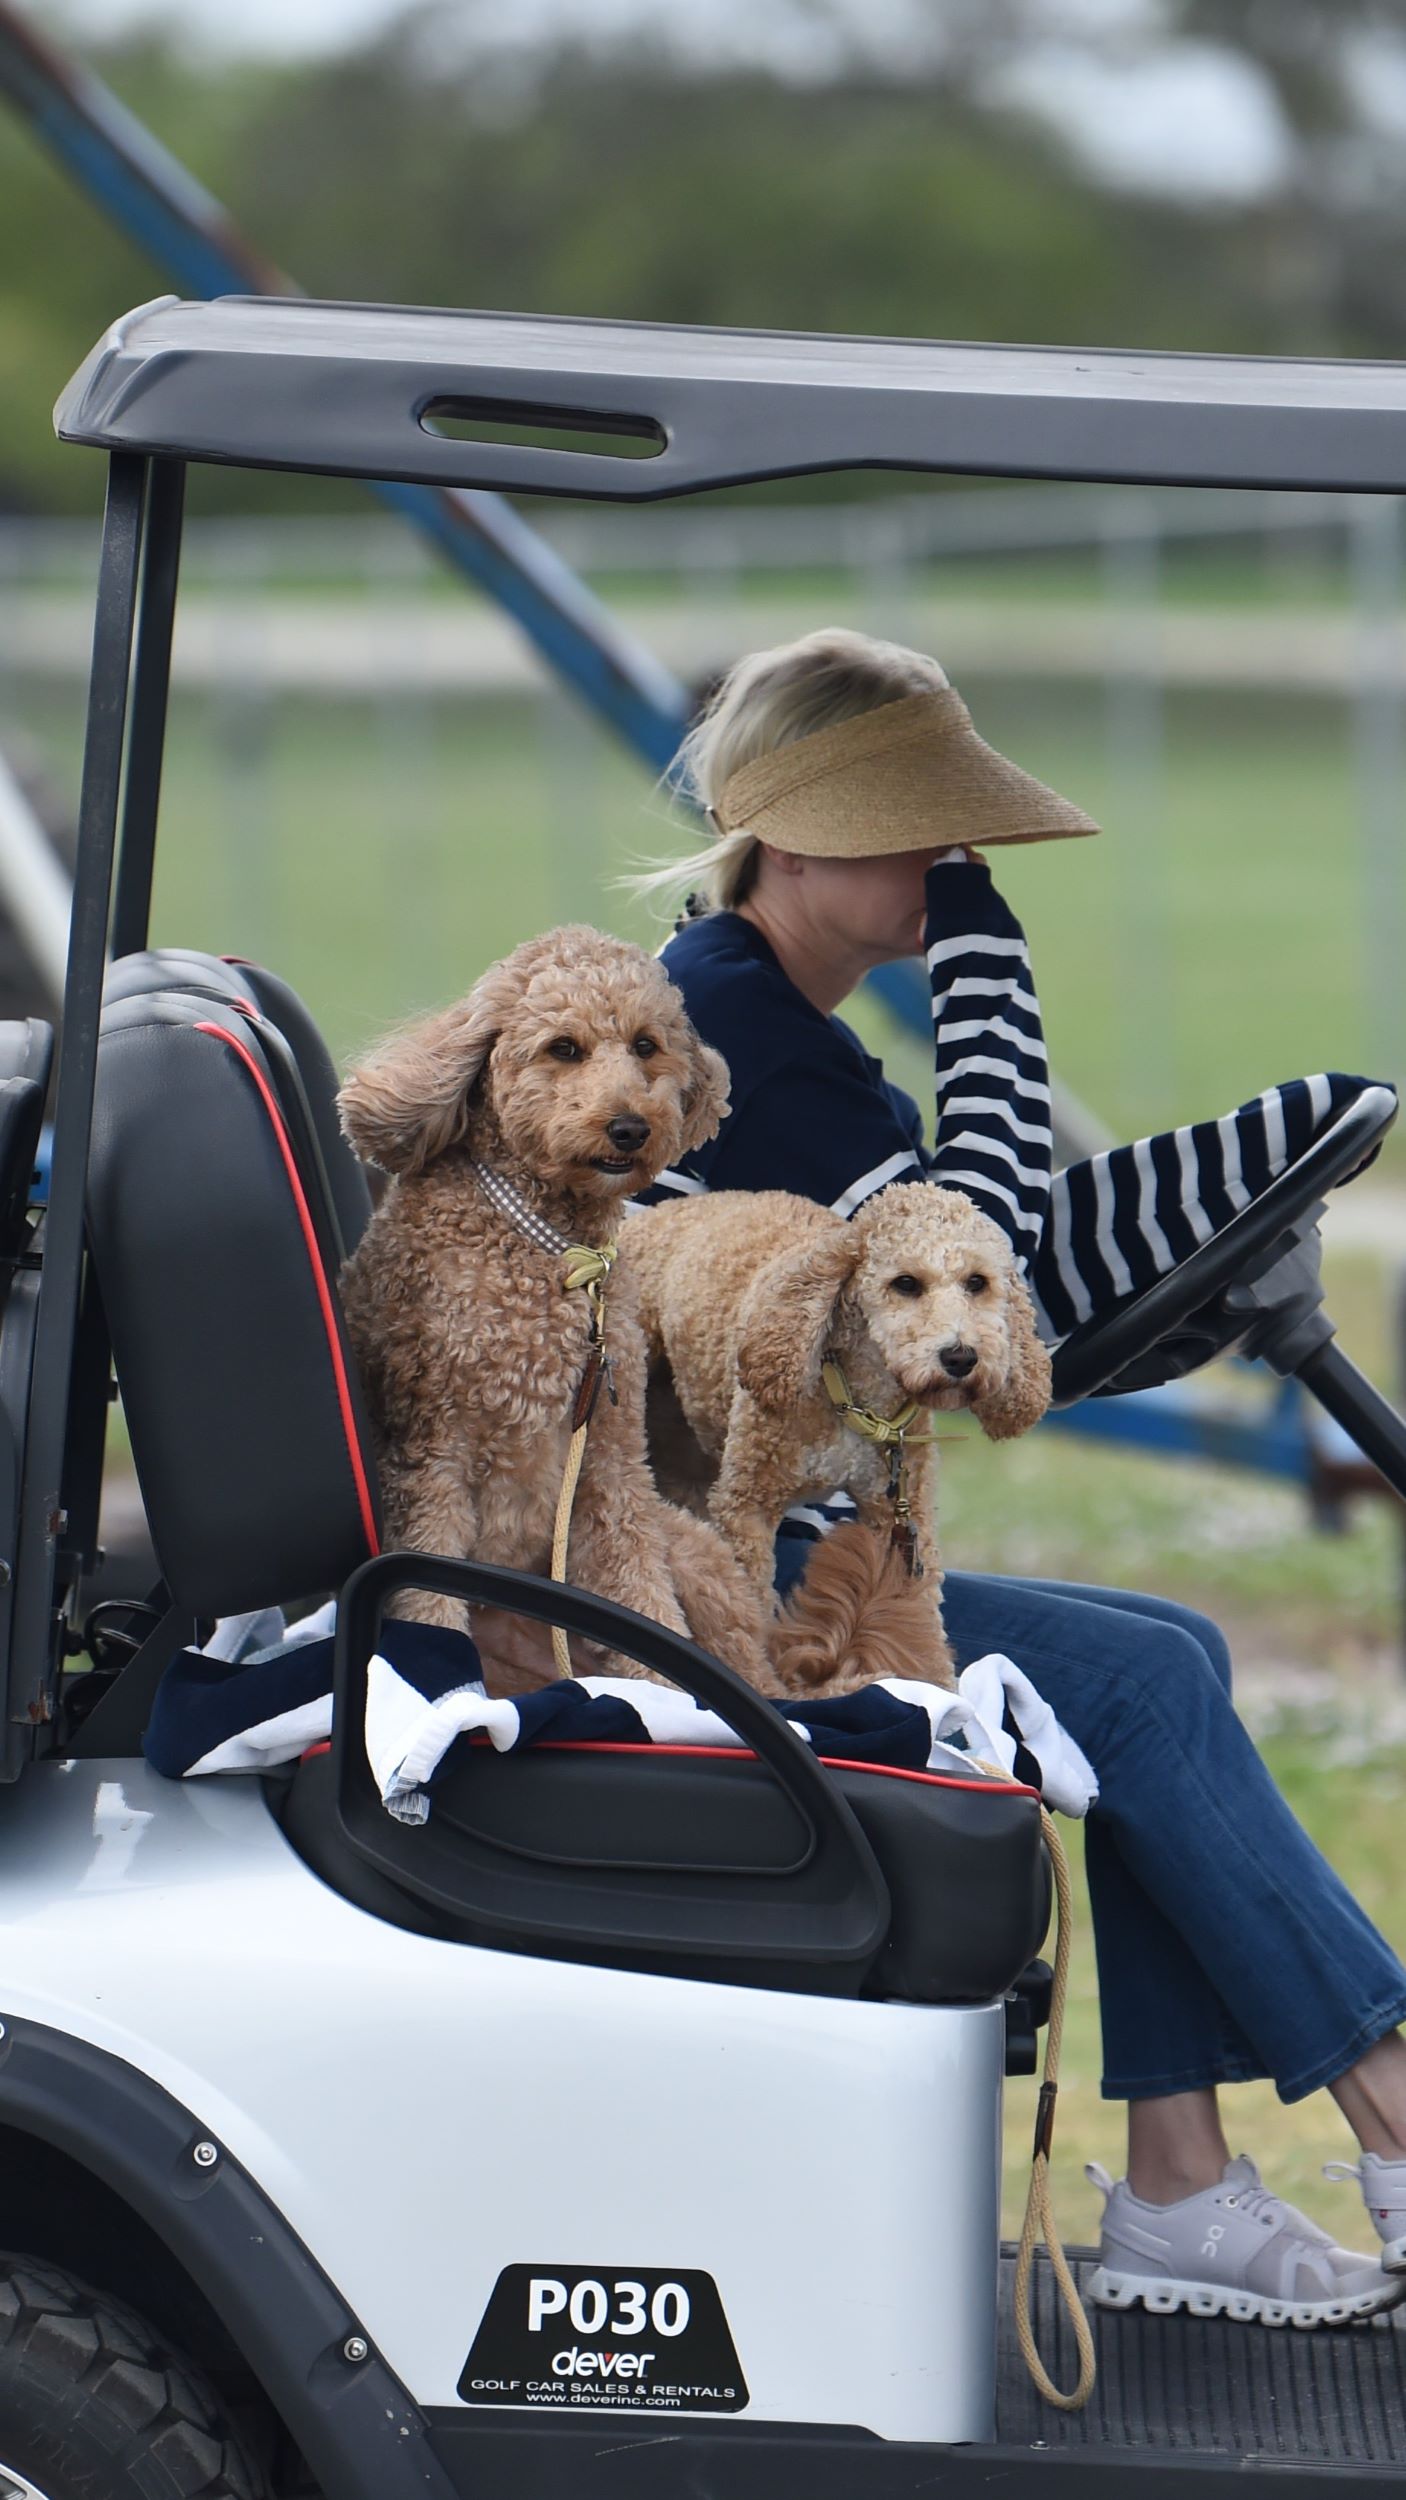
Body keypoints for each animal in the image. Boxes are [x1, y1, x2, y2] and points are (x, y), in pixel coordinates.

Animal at [337, 926, 781, 1692]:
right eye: (564, 1048)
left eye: (645, 1045)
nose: (630, 1127)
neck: (558, 1255)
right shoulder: (433, 1461)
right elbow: (428, 1607)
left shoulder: (611, 1465)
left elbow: (646, 1600)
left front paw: (668, 1699)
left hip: (693, 1553)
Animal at [627, 1181, 1051, 1692]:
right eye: (905, 1283)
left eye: (977, 1282)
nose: (960, 1357)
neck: (857, 1398)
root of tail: (661, 1211)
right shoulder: (747, 1505)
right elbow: (750, 1597)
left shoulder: (902, 1519)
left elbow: (918, 1611)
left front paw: (937, 1686)